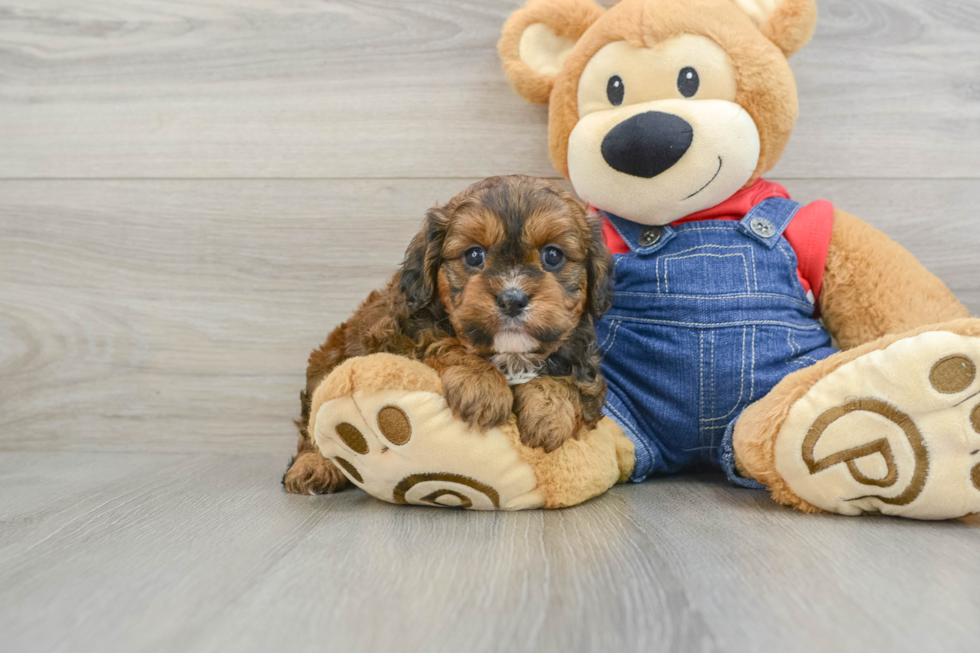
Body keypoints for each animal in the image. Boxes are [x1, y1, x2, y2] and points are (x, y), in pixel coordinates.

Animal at [280, 173, 612, 494]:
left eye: (553, 256)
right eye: (474, 255)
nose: (512, 298)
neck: (510, 355)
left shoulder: (583, 361)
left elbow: (572, 383)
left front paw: (550, 412)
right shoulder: (402, 330)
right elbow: (442, 342)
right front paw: (481, 385)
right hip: (326, 365)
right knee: (311, 426)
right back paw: (314, 465)